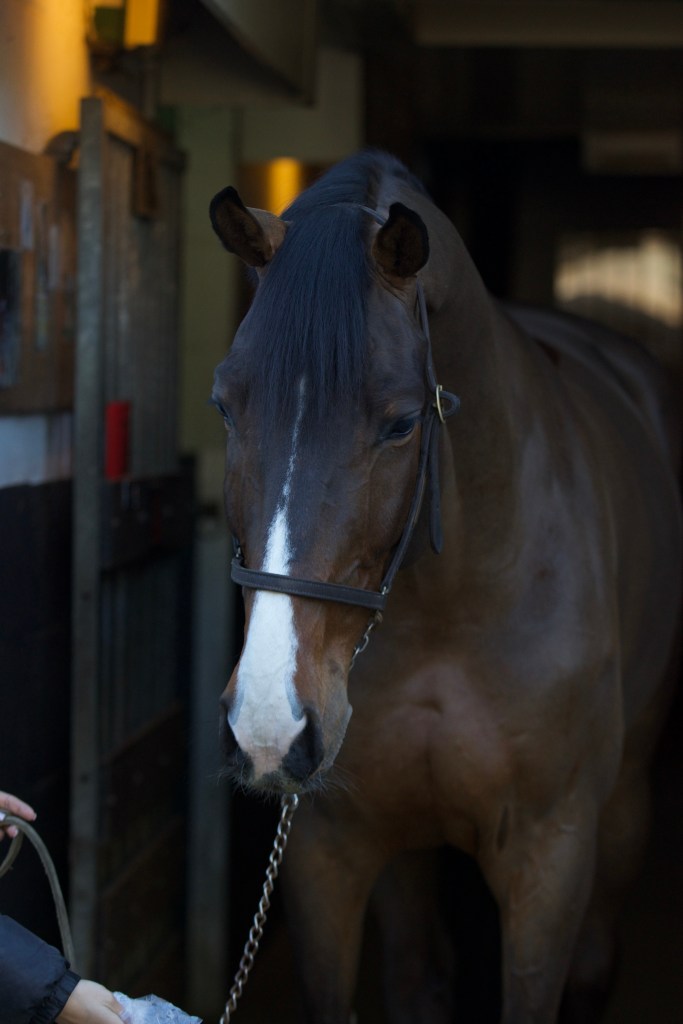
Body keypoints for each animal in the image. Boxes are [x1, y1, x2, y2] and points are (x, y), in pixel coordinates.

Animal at [208, 150, 681, 1024]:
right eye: (224, 406)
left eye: (400, 424)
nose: (266, 726)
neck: (449, 607)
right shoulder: (328, 849)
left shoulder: (549, 858)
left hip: (624, 813)